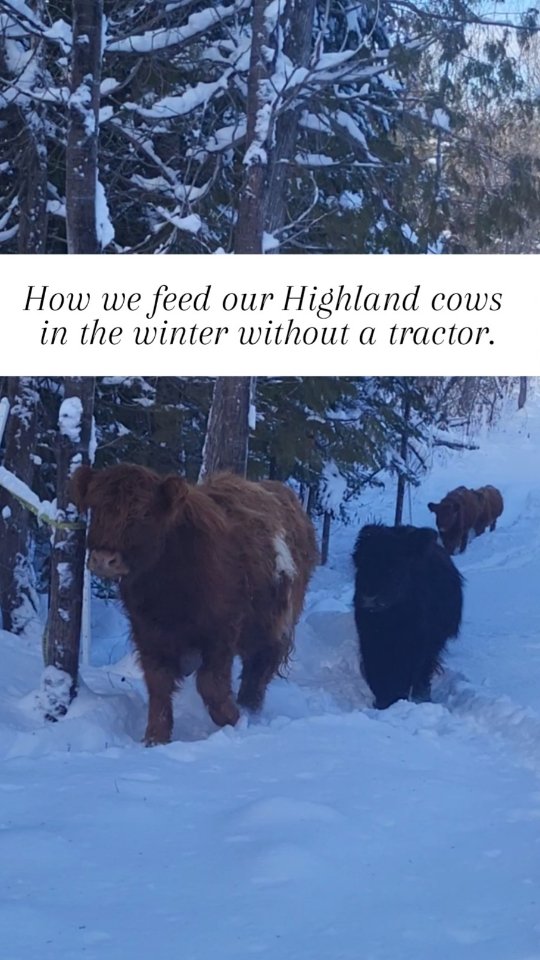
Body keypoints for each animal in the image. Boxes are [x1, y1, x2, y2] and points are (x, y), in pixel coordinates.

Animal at [72, 464, 318, 745]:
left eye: (144, 512)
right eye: (95, 508)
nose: (104, 559)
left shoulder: (221, 631)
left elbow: (211, 684)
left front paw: (235, 720)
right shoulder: (147, 633)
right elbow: (158, 684)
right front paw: (155, 738)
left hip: (274, 623)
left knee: (259, 667)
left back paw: (249, 708)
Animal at [353, 523, 463, 710]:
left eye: (394, 566)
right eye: (361, 563)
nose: (369, 598)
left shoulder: (417, 644)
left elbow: (407, 672)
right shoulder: (369, 639)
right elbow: (376, 671)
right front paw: (383, 701)